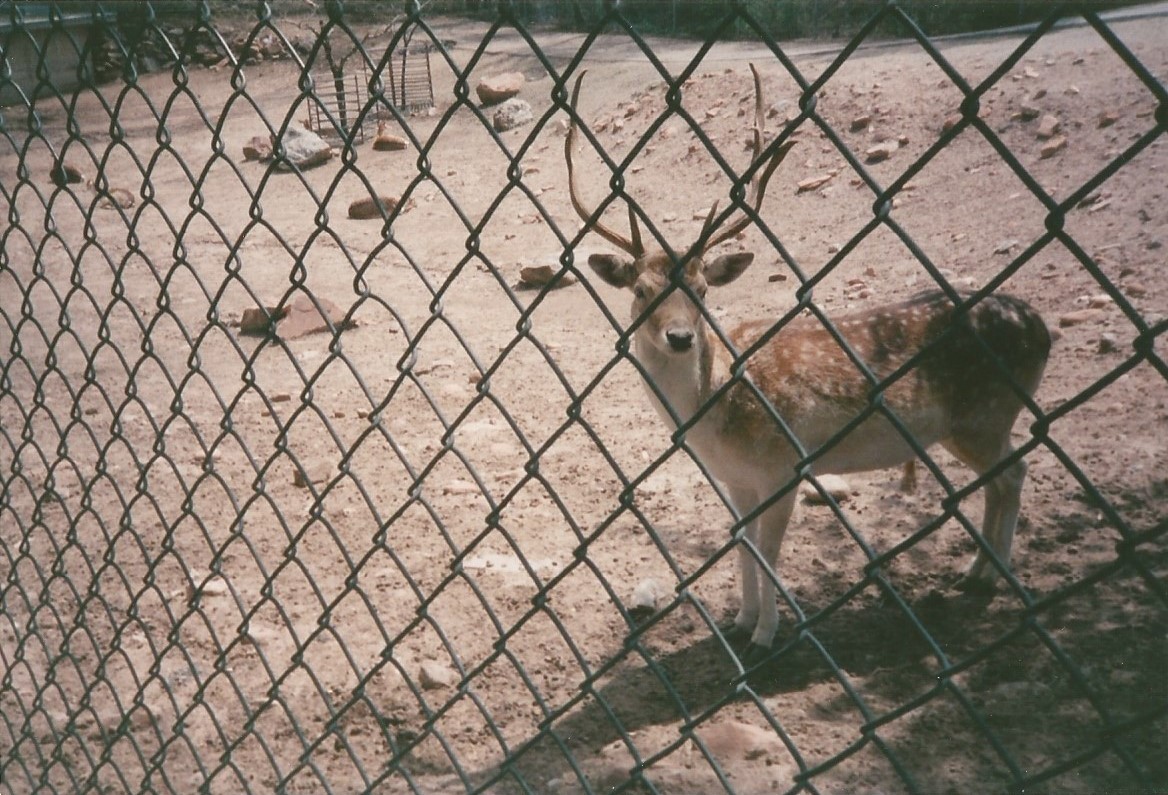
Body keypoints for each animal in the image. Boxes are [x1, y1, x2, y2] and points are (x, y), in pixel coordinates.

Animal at [565, 66, 1051, 663]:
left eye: (701, 289)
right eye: (640, 291)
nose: (680, 337)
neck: (716, 419)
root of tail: (1040, 327)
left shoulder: (782, 466)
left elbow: (769, 554)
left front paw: (765, 635)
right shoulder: (737, 480)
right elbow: (742, 546)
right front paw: (739, 621)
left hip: (984, 415)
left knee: (1013, 474)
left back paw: (991, 576)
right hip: (976, 424)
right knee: (1004, 478)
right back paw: (978, 573)